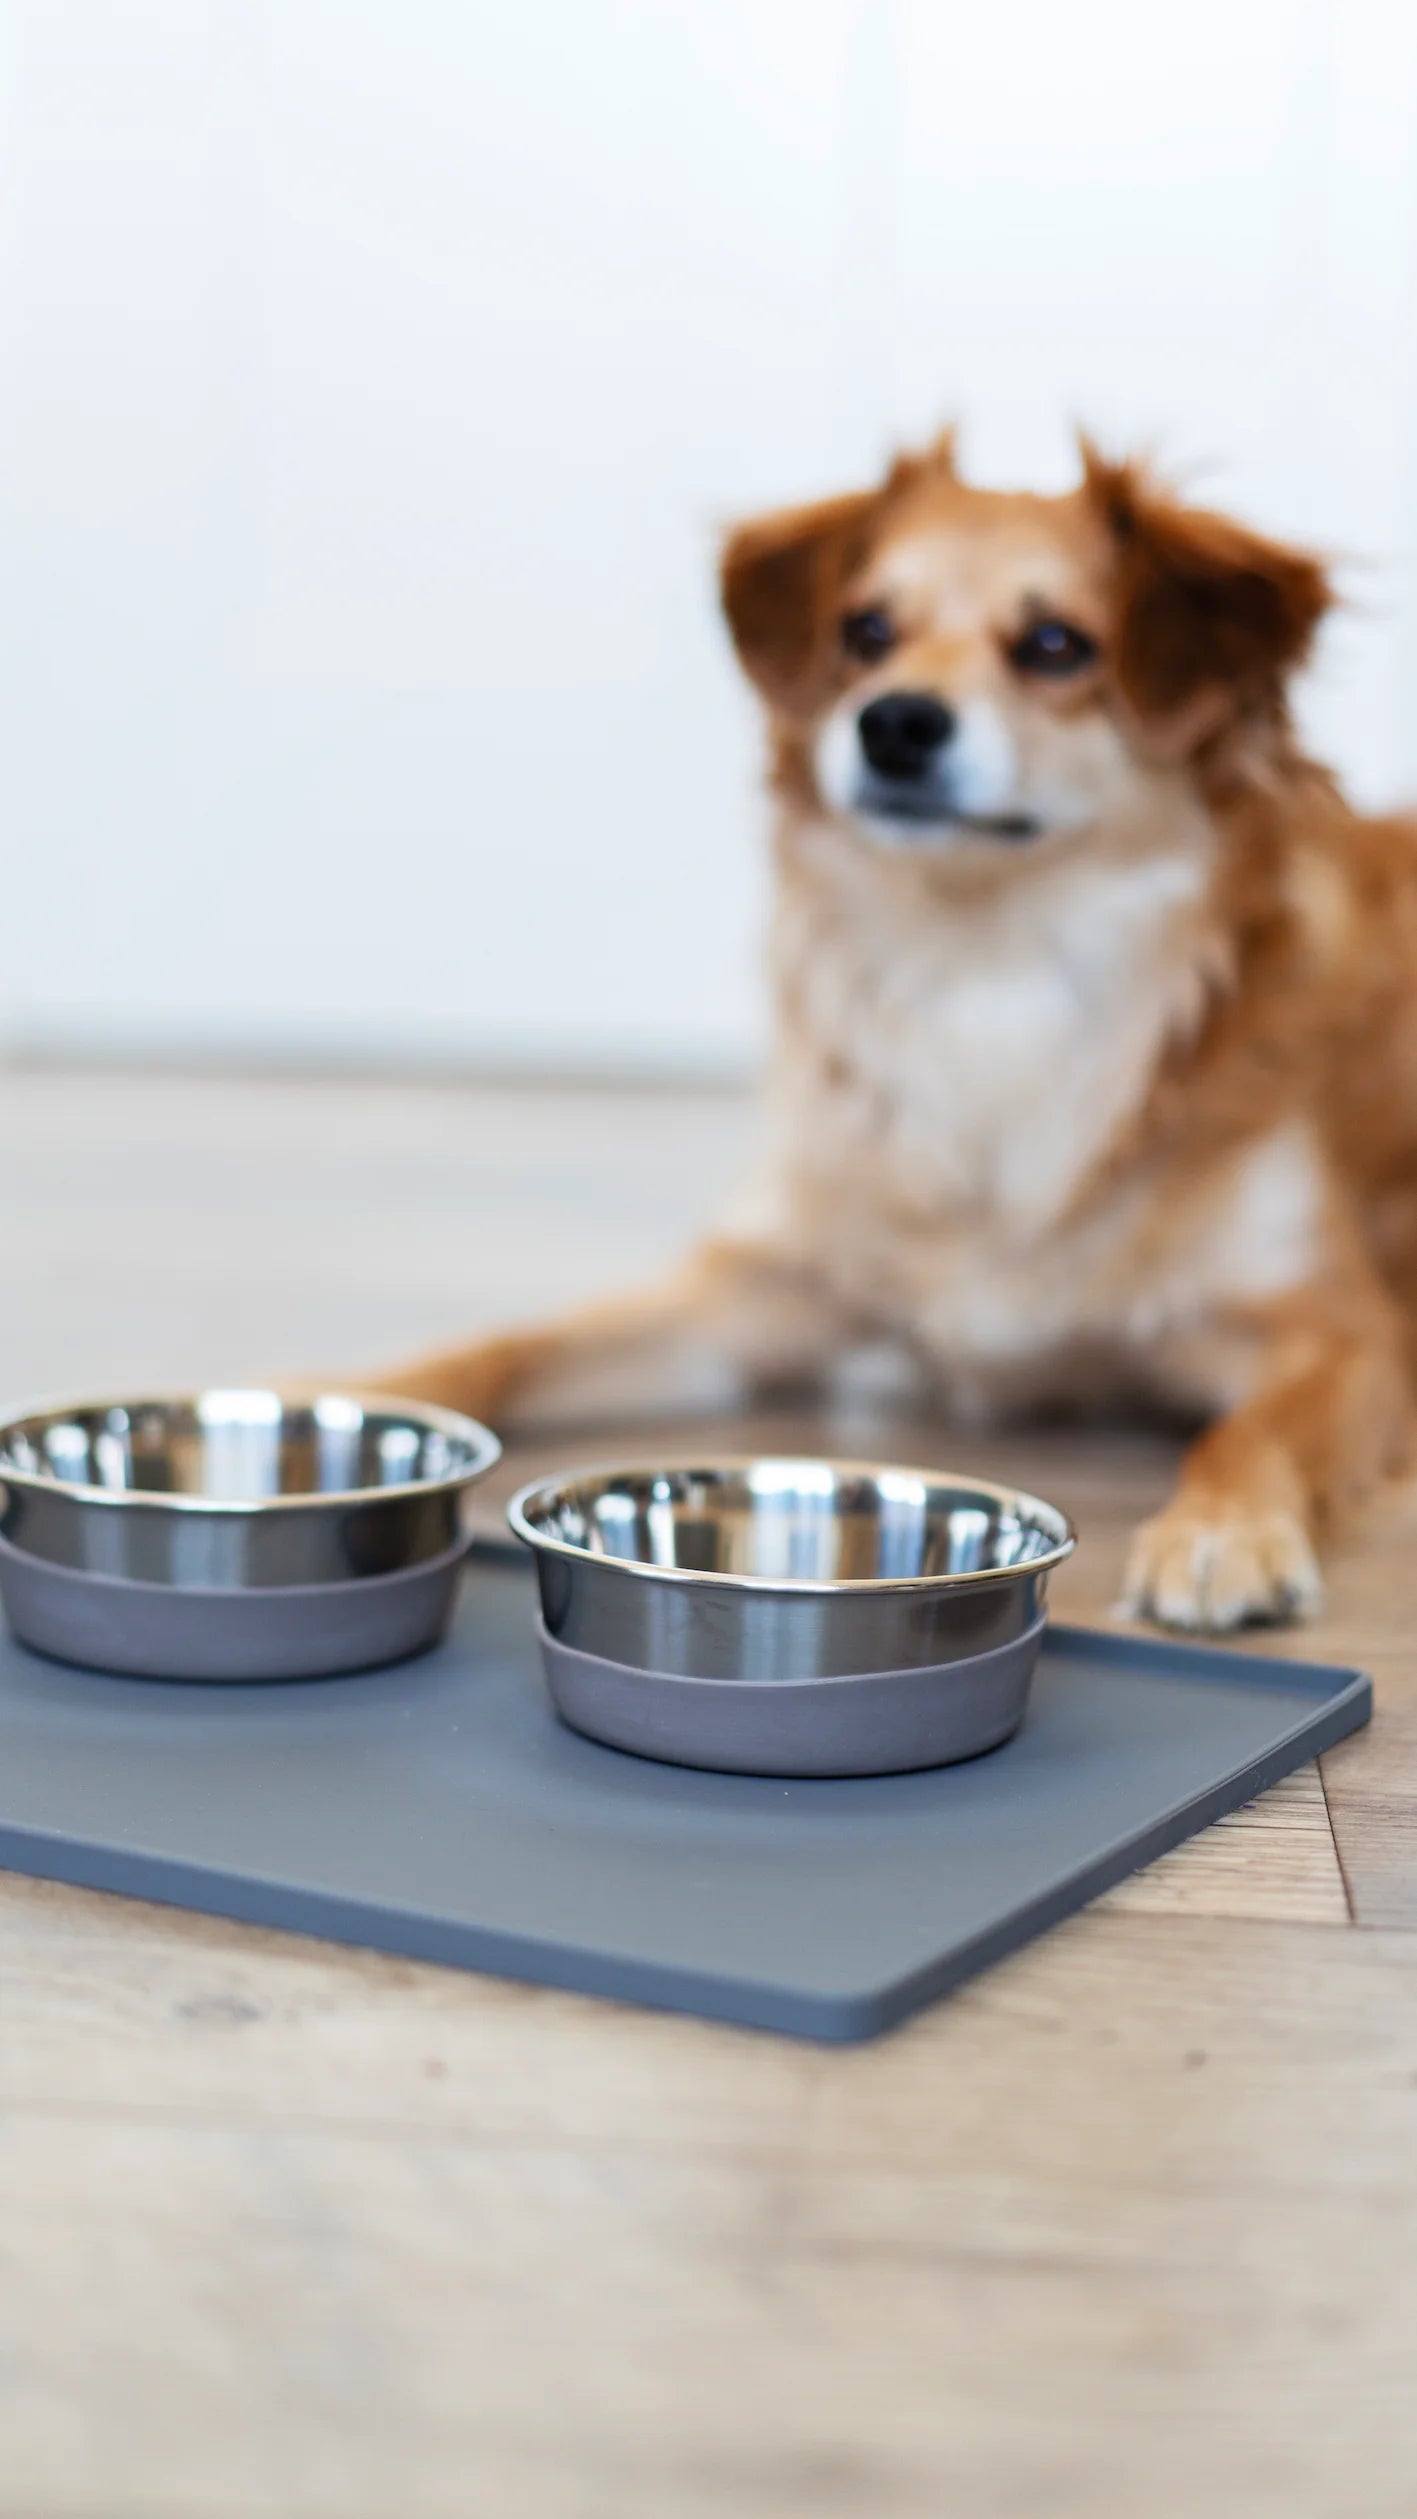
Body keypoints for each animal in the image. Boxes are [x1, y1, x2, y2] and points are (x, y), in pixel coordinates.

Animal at [375, 433, 1417, 1632]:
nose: (894, 721)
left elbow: (1250, 1429)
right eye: (866, 632)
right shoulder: (758, 1294)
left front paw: (1222, 1529)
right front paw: (351, 1395)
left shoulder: (1342, 1333)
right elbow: (506, 1343)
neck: (986, 978)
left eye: (1055, 645)